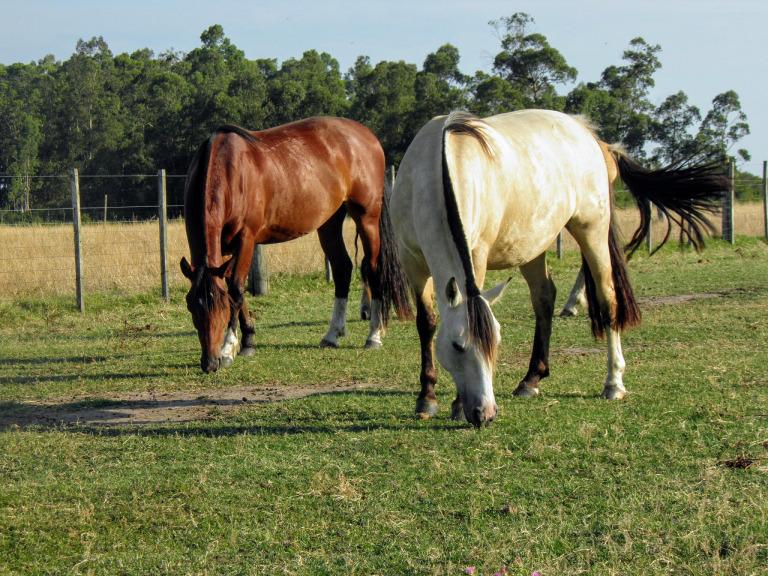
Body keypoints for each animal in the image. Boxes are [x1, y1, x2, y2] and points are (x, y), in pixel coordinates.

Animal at [180, 116, 412, 374]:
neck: (230, 172)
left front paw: (229, 348)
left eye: (221, 307)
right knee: (342, 269)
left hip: (366, 217)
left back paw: (374, 335)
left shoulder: (246, 240)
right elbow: (234, 289)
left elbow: (236, 290)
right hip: (329, 221)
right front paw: (248, 340)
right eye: (191, 305)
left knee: (372, 268)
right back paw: (332, 335)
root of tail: (367, 135)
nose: (209, 363)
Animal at [392, 110, 724, 428]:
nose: (485, 413)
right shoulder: (412, 262)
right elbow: (426, 323)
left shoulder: (477, 255)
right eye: (457, 346)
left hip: (592, 231)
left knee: (607, 300)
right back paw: (531, 379)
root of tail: (589, 135)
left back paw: (613, 383)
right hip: (533, 246)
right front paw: (426, 398)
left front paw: (455, 405)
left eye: (495, 344)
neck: (436, 169)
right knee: (544, 299)